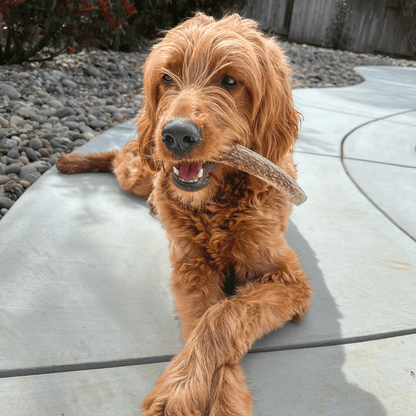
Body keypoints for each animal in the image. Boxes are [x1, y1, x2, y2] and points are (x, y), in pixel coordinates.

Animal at [57, 13, 314, 416]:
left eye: (230, 81)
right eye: (166, 77)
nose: (177, 136)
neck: (215, 208)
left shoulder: (287, 278)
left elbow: (224, 316)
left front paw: (211, 397)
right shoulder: (191, 267)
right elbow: (204, 318)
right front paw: (188, 390)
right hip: (139, 171)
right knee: (120, 157)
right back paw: (75, 161)